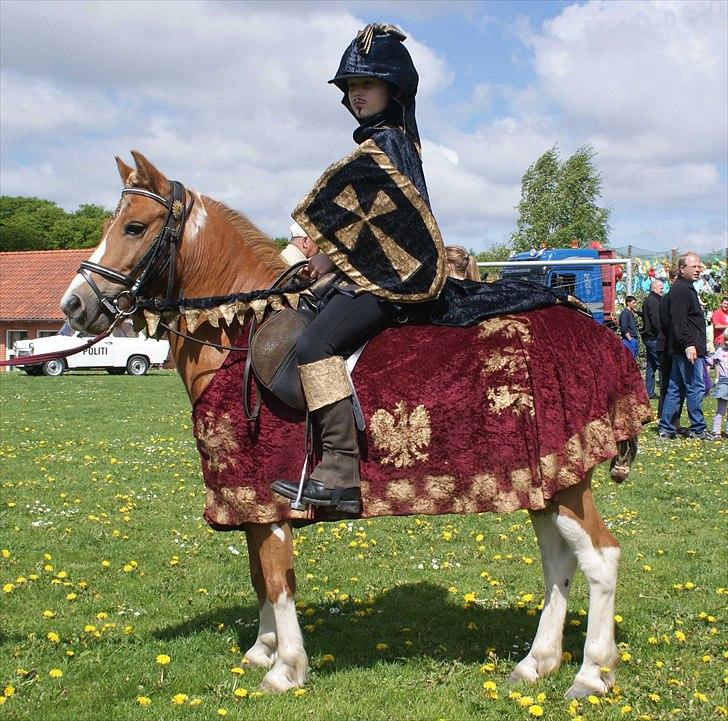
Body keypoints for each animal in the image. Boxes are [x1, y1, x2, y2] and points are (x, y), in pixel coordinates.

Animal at [61, 152, 648, 696]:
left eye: (135, 227)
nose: (75, 305)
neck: (237, 337)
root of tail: (602, 336)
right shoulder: (247, 502)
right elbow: (258, 574)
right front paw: (262, 648)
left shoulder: (264, 496)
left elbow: (277, 578)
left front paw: (286, 667)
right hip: (546, 482)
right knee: (557, 561)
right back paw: (537, 661)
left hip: (566, 482)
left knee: (600, 558)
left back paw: (592, 672)